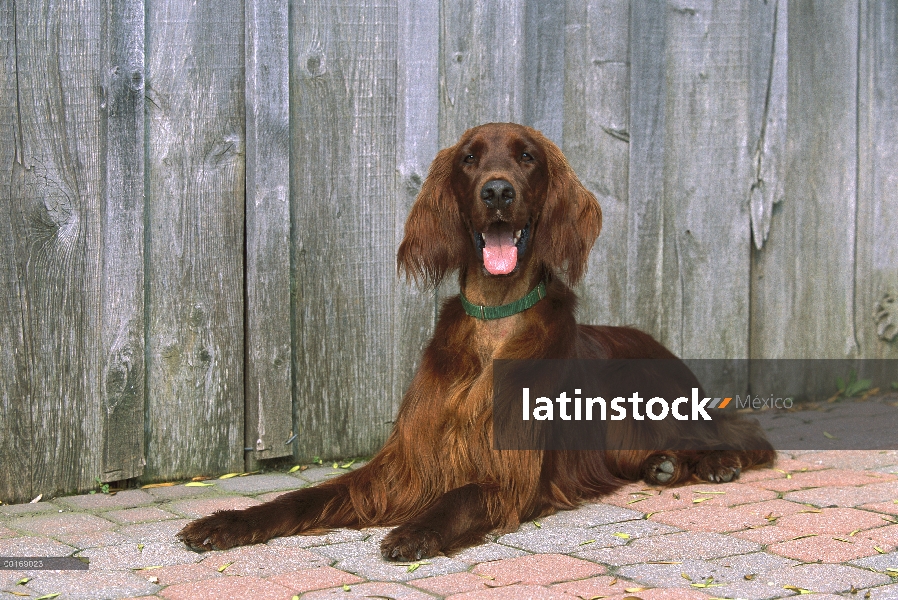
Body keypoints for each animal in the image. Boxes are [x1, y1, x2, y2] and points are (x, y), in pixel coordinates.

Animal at [177, 123, 768, 564]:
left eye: (527, 156)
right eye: (469, 159)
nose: (498, 191)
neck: (495, 322)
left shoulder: (510, 473)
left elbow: (460, 496)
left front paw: (415, 530)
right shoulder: (403, 463)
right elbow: (303, 496)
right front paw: (226, 522)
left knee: (745, 434)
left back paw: (712, 462)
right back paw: (662, 465)